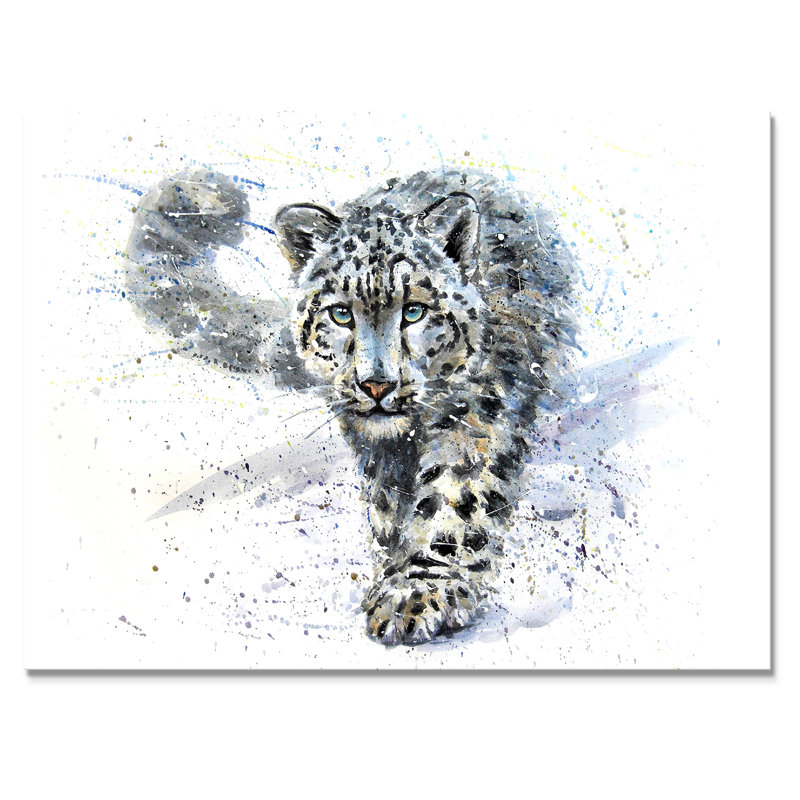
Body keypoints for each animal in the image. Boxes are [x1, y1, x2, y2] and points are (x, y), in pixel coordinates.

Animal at [125, 167, 578, 646]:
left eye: (414, 311)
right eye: (340, 313)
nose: (376, 384)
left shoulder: (475, 417)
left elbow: (454, 497)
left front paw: (417, 589)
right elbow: (390, 503)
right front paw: (396, 563)